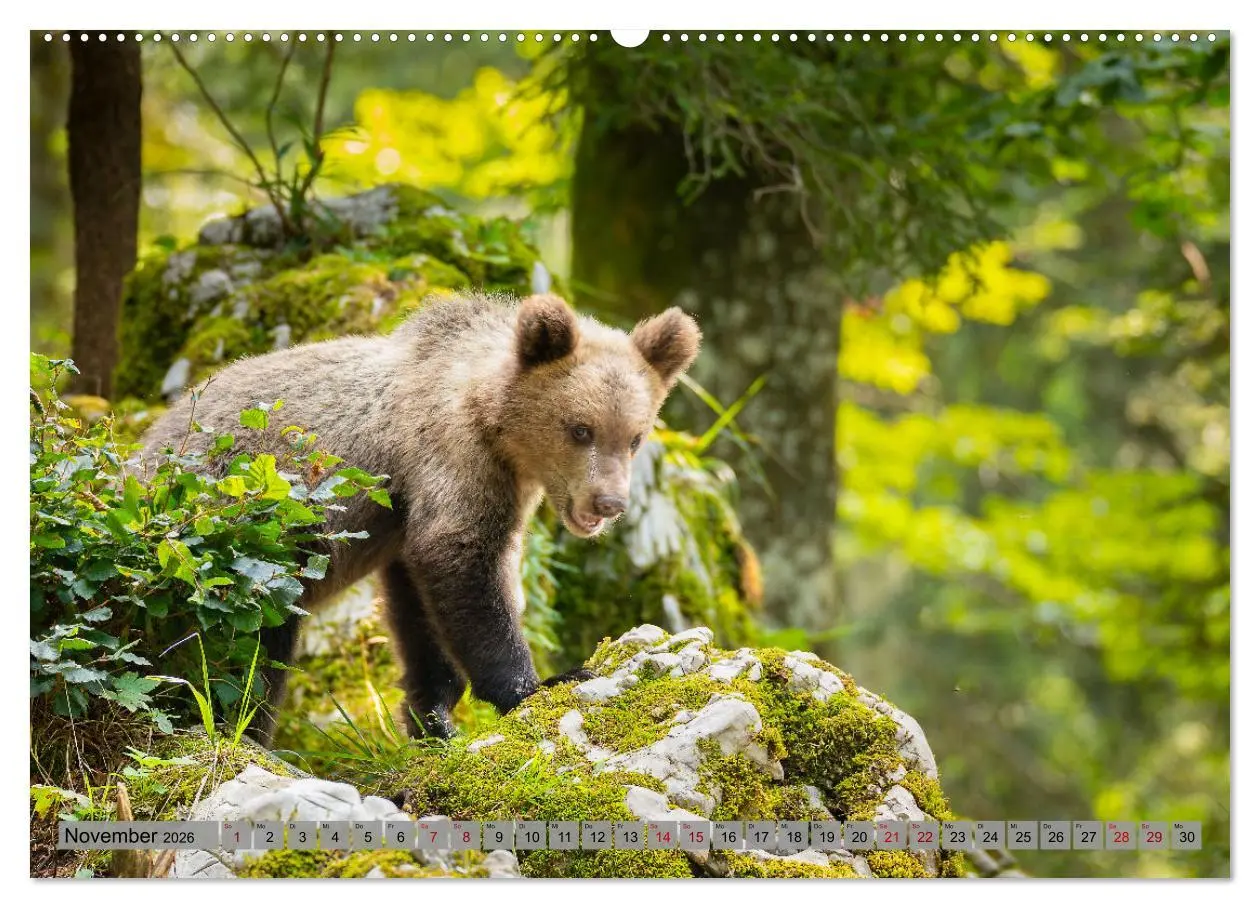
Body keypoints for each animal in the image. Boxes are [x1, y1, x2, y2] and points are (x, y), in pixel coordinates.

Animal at [140, 292, 702, 744]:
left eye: (635, 436)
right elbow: (462, 562)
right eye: (580, 429)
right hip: (233, 539)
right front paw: (540, 683)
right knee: (248, 649)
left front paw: (433, 717)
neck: (494, 422)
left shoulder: (412, 514)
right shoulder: (451, 459)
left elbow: (419, 609)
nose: (610, 503)